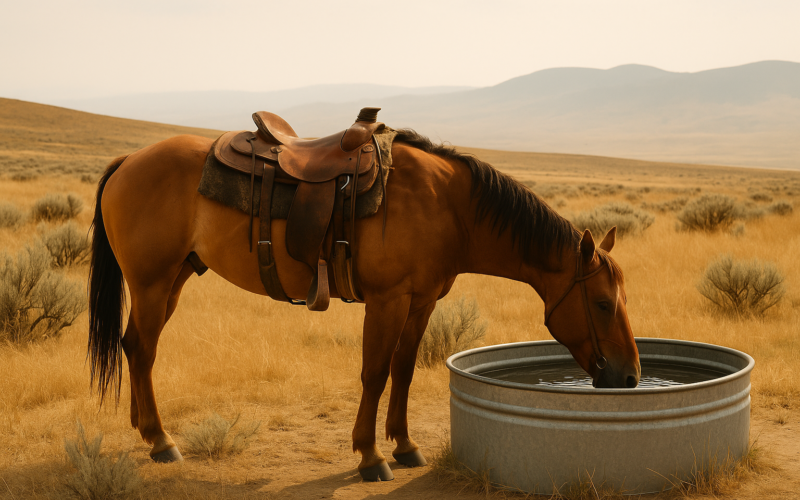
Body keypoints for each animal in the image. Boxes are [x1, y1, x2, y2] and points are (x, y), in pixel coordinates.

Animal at [87, 128, 640, 481]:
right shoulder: (388, 301)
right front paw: (371, 456)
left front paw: (405, 444)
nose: (631, 376)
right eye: (602, 303)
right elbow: (374, 373)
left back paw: (146, 431)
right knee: (142, 348)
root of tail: (128, 161)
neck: (448, 206)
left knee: (136, 347)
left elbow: (403, 369)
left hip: (174, 279)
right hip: (153, 282)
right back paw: (162, 440)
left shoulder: (421, 302)